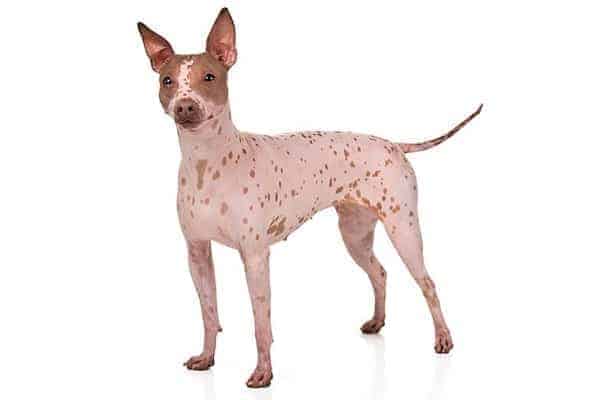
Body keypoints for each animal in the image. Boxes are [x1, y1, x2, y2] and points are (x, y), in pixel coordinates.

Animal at [138, 7, 480, 388]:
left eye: (209, 77)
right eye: (167, 81)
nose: (185, 107)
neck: (208, 163)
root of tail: (393, 144)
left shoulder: (255, 258)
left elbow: (260, 323)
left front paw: (263, 372)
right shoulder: (197, 254)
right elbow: (209, 314)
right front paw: (207, 357)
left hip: (404, 231)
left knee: (428, 283)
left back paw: (443, 338)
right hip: (355, 235)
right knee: (379, 273)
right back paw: (377, 322)